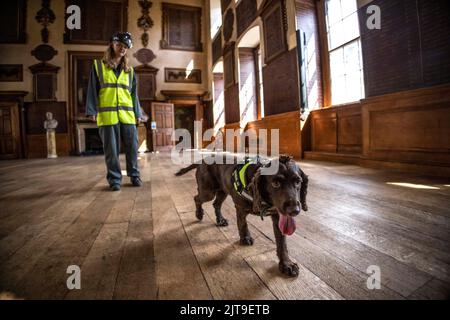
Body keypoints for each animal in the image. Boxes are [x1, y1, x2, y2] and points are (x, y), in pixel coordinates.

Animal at [174, 154, 308, 276]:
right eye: (275, 183)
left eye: (298, 182)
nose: (294, 210)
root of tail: (203, 160)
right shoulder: (240, 208)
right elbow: (243, 225)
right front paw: (245, 238)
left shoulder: (278, 216)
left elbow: (282, 243)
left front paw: (286, 264)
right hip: (208, 192)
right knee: (197, 198)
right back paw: (199, 214)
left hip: (222, 191)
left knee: (216, 204)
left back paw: (220, 220)